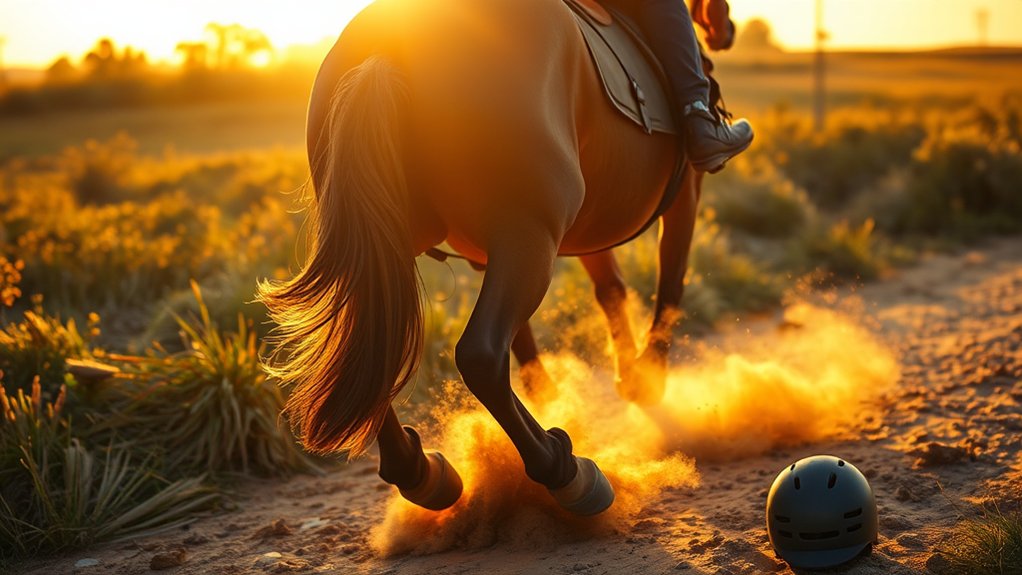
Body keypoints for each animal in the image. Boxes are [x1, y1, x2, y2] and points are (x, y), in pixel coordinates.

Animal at [259, 0, 707, 515]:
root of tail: (390, 39)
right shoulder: (683, 192)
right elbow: (670, 278)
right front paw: (647, 375)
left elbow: (606, 291)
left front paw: (612, 375)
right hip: (530, 235)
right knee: (481, 356)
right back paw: (563, 468)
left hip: (391, 244)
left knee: (374, 355)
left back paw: (421, 471)